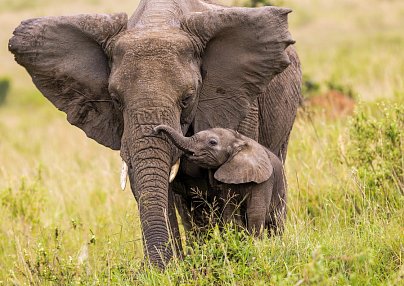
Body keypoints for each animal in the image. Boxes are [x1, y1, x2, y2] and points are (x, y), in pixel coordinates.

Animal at [153, 124, 286, 235]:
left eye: (212, 142)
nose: (155, 129)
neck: (239, 140)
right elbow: (230, 211)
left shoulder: (264, 181)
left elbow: (255, 213)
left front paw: (254, 243)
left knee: (276, 224)